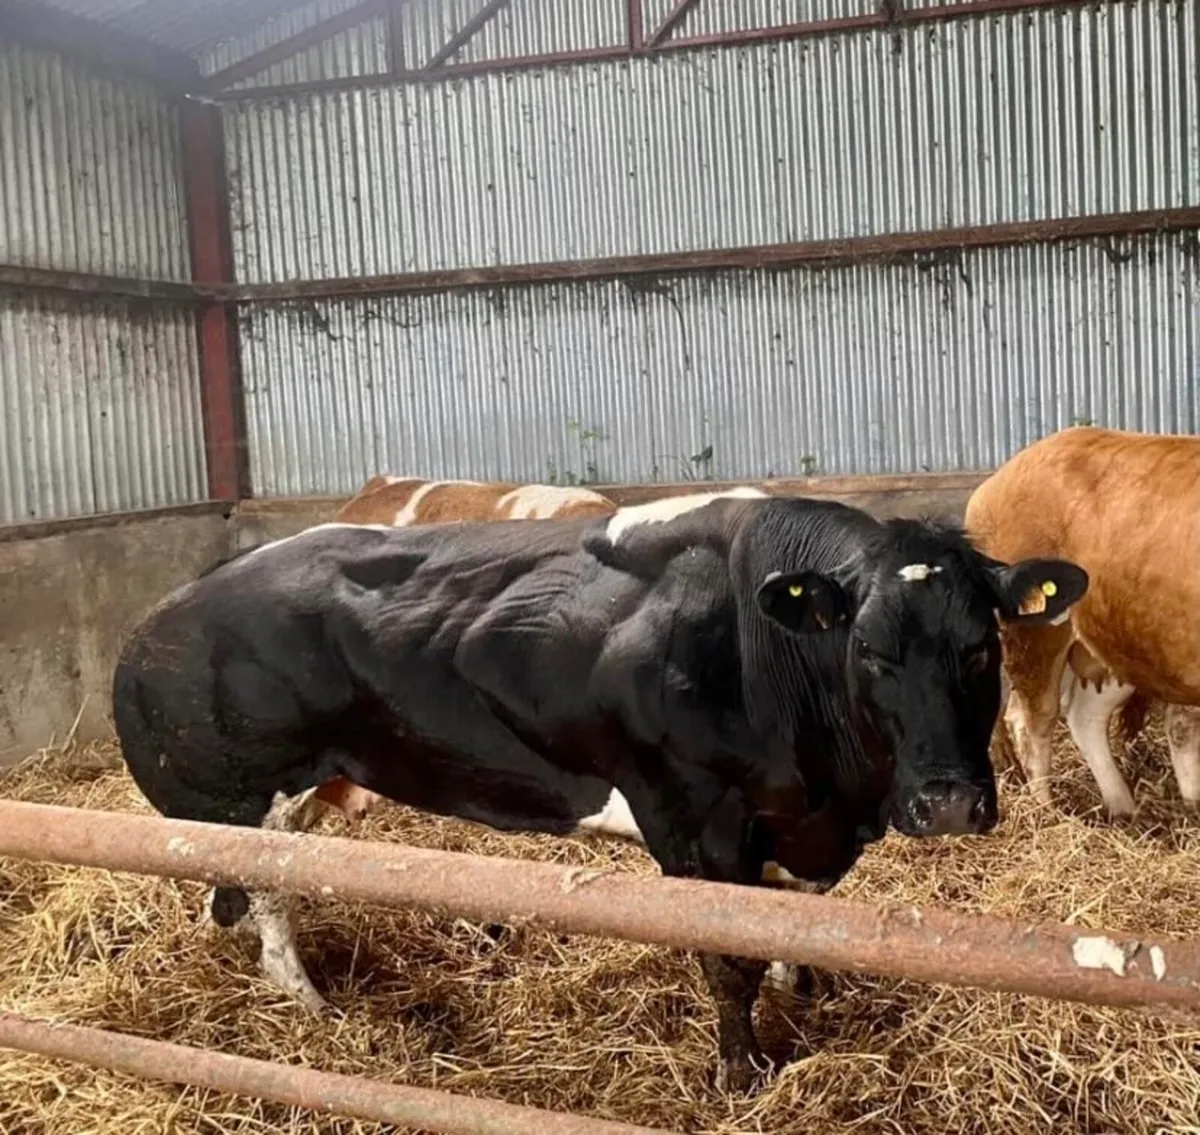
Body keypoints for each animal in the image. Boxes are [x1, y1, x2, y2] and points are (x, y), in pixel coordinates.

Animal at [111, 488, 1088, 1093]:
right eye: (871, 652)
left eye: (982, 647)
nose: (950, 802)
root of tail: (162, 614)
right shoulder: (695, 818)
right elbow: (728, 958)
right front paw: (741, 1074)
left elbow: (785, 925)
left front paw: (806, 991)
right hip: (242, 795)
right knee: (263, 894)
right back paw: (309, 1004)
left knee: (249, 899)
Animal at [965, 426, 1200, 818]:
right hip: (1035, 636)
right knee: (1032, 722)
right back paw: (1046, 812)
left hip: (1118, 642)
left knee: (1085, 716)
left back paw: (1123, 807)